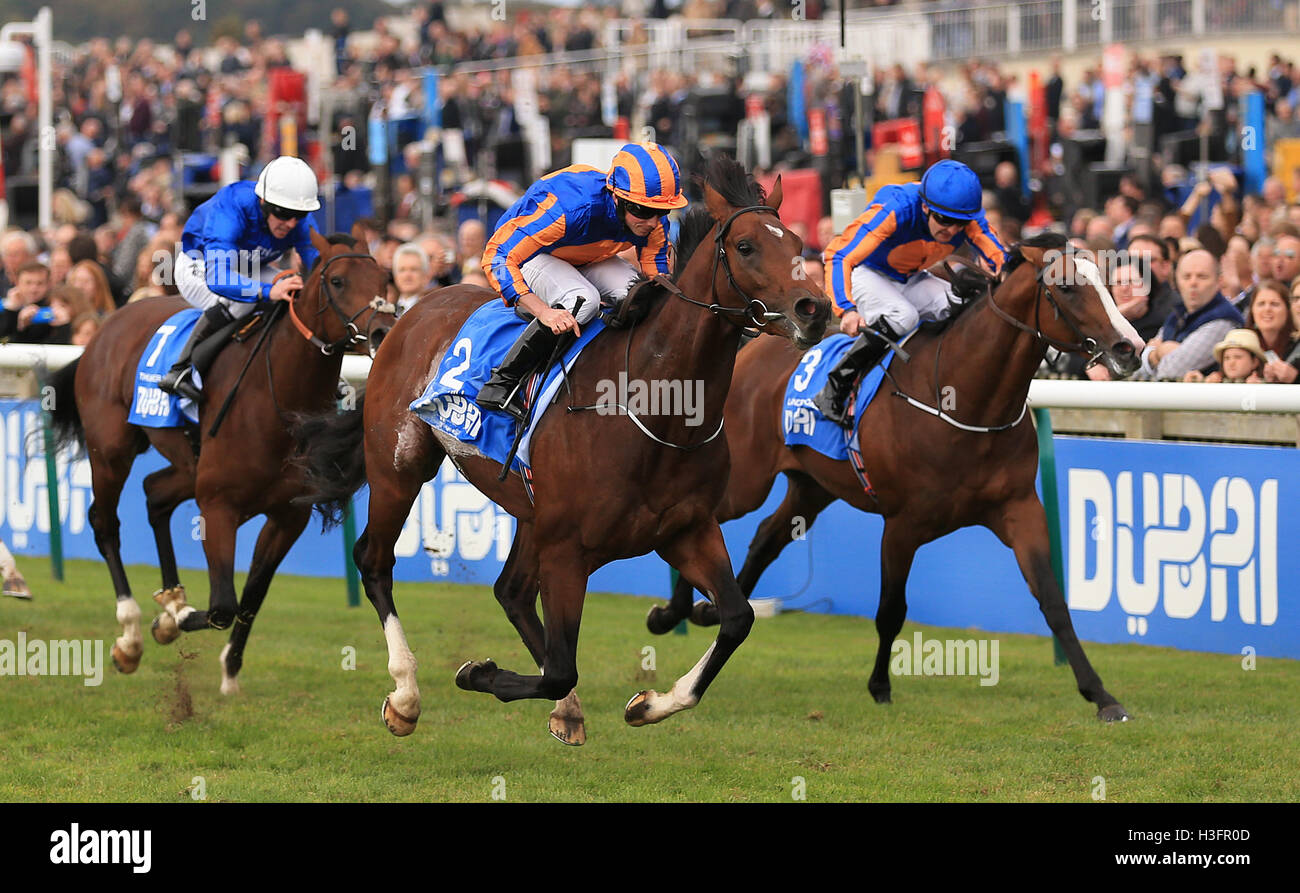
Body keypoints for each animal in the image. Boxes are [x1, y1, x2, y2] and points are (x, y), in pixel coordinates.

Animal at [50, 232, 392, 691]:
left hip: (188, 466)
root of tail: (106, 327)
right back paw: (131, 636)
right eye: (337, 281)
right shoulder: (218, 505)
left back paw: (170, 594)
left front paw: (228, 664)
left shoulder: (287, 516)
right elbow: (223, 605)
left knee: (155, 493)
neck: (276, 398)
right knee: (105, 522)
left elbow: (252, 596)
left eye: (385, 277)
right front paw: (171, 620)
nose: (383, 330)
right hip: (110, 451)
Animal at [296, 157, 826, 743]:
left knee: (511, 592)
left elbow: (737, 619)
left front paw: (649, 703)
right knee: (375, 559)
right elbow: (559, 668)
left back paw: (565, 710)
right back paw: (406, 696)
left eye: (798, 243)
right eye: (747, 246)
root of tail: (408, 313)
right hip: (399, 466)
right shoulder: (569, 550)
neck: (655, 407)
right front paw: (476, 673)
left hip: (531, 509)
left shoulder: (687, 529)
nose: (815, 308)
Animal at [644, 233, 1144, 722]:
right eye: (1067, 288)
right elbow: (890, 611)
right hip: (748, 481)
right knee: (708, 517)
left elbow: (1054, 602)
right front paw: (880, 686)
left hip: (814, 485)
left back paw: (708, 611)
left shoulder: (1020, 508)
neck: (966, 401)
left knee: (767, 535)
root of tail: (754, 346)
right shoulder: (902, 524)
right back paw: (673, 612)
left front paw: (1102, 696)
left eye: (1107, 283)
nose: (1131, 348)